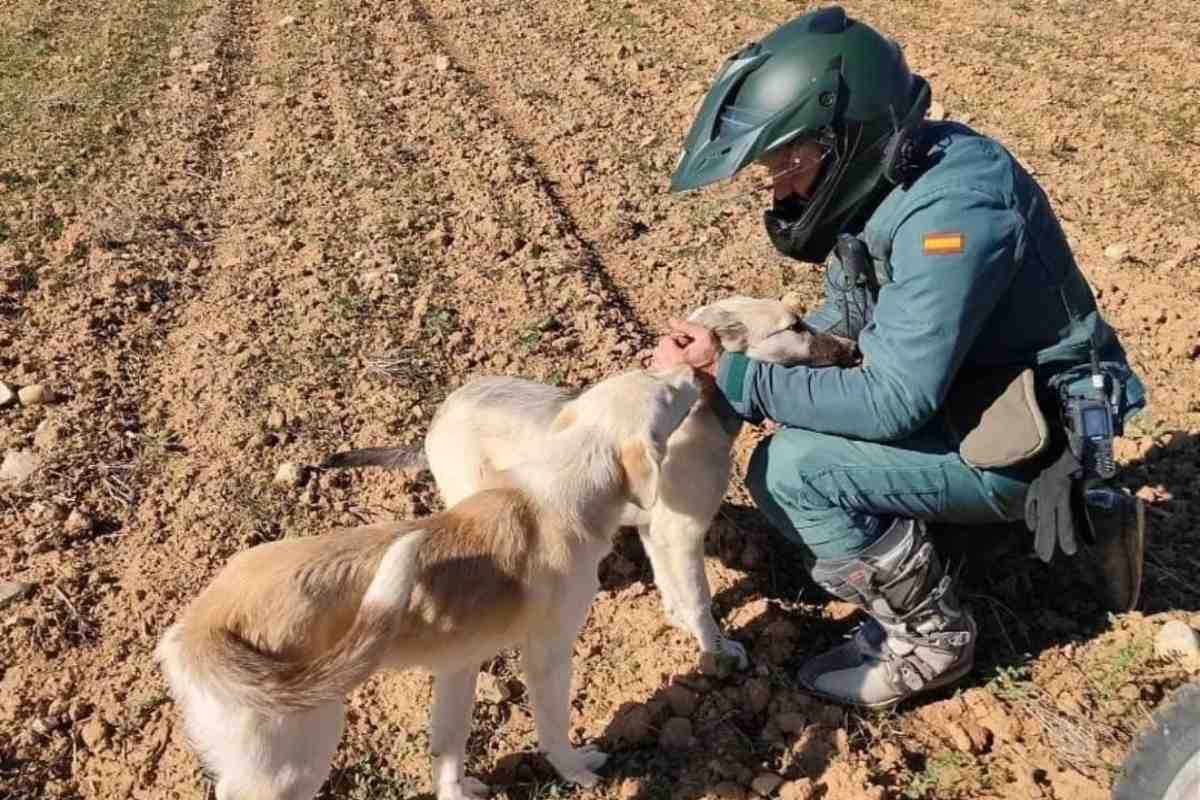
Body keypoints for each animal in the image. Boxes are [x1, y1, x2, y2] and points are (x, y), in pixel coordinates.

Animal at [158, 367, 700, 800]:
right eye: (669, 394)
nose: (693, 370)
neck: (558, 491)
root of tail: (202, 629)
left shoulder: (458, 664)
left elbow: (448, 746)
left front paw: (457, 791)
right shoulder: (547, 656)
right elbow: (553, 728)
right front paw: (577, 771)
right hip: (294, 758)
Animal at [324, 293, 859, 671]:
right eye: (795, 326)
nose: (855, 348)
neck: (703, 411)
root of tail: (434, 422)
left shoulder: (657, 531)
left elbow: (673, 589)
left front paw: (681, 625)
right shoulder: (682, 533)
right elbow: (700, 601)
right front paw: (717, 652)